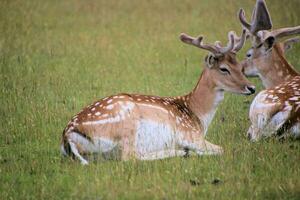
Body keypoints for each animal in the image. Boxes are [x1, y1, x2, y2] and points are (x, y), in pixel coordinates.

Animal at [61, 29, 253, 164]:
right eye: (224, 69)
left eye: (240, 66)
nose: (251, 87)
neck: (198, 116)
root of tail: (68, 135)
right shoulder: (189, 134)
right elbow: (222, 149)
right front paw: (189, 151)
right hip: (127, 122)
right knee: (130, 157)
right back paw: (181, 152)